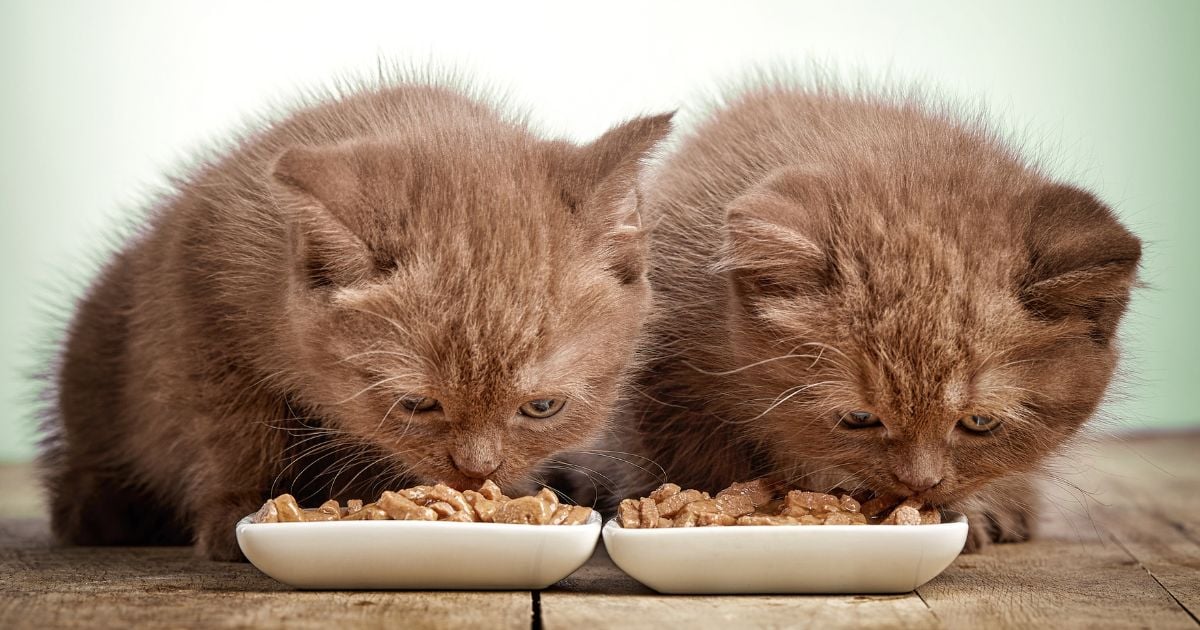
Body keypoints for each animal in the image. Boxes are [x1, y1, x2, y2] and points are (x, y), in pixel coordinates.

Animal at [39, 75, 676, 559]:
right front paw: (235, 514)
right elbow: (235, 429)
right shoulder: (199, 292)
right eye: (417, 403)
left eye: (543, 407)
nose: (476, 471)